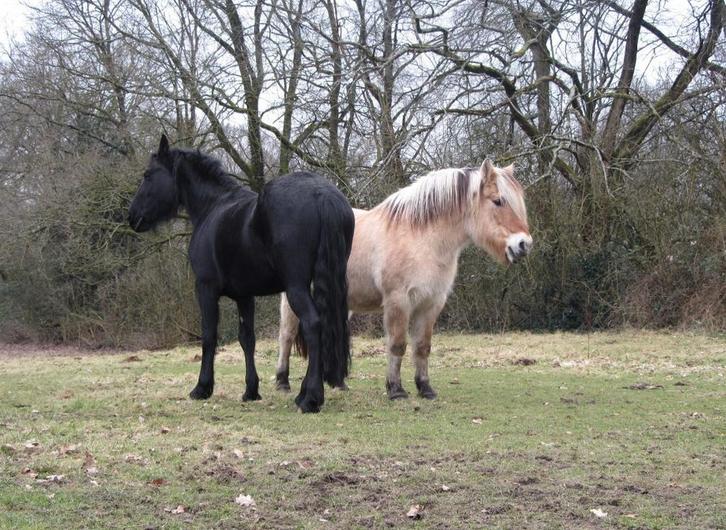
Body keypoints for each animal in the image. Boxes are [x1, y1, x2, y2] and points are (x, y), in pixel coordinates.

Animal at [128, 135, 354, 413]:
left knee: (312, 324)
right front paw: (251, 390)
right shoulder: (245, 295)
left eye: (148, 175)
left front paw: (202, 388)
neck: (213, 206)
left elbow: (209, 336)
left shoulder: (205, 288)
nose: (132, 216)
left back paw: (310, 398)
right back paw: (305, 393)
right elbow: (247, 339)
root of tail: (321, 193)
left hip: (296, 287)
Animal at [276, 159, 532, 400]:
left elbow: (422, 347)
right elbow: (398, 344)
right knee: (286, 336)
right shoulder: (398, 300)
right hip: (293, 300)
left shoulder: (431, 303)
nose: (524, 245)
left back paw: (338, 383)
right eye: (498, 201)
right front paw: (396, 389)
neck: (421, 239)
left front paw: (425, 388)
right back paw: (283, 382)